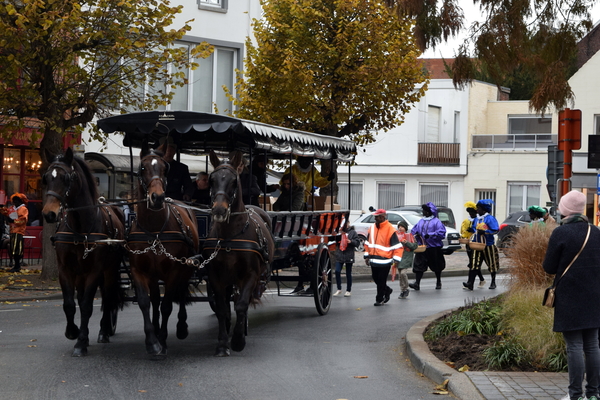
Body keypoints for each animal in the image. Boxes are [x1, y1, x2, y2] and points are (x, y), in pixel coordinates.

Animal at [41, 147, 125, 356]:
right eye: (46, 177)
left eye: (67, 178)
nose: (49, 214)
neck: (79, 228)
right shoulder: (65, 269)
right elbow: (70, 304)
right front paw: (73, 331)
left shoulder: (94, 270)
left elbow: (87, 305)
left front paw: (81, 343)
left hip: (109, 270)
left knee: (108, 297)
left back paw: (104, 331)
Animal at [126, 140, 199, 356]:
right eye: (142, 168)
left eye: (165, 169)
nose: (157, 197)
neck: (154, 229)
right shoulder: (139, 270)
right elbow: (146, 302)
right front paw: (152, 341)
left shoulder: (173, 270)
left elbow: (167, 305)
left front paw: (163, 340)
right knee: (156, 301)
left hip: (186, 268)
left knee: (180, 293)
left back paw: (181, 327)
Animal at [204, 150, 274, 356]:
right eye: (212, 180)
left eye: (234, 181)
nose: (219, 209)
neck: (230, 236)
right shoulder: (216, 276)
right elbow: (222, 309)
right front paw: (222, 343)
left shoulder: (250, 274)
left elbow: (241, 304)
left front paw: (237, 340)